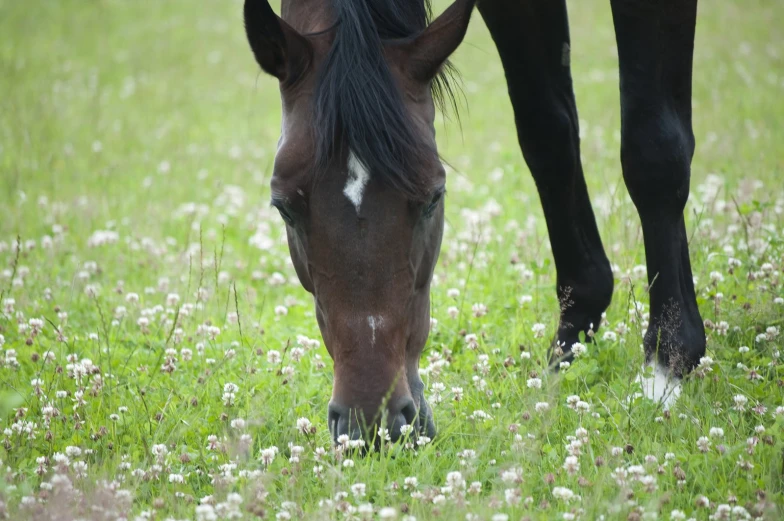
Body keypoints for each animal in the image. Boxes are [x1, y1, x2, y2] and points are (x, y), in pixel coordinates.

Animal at [243, 0, 704, 442]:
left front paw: (667, 366)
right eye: (283, 206)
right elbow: (548, 136)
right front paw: (571, 340)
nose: (372, 426)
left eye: (433, 198)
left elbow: (653, 149)